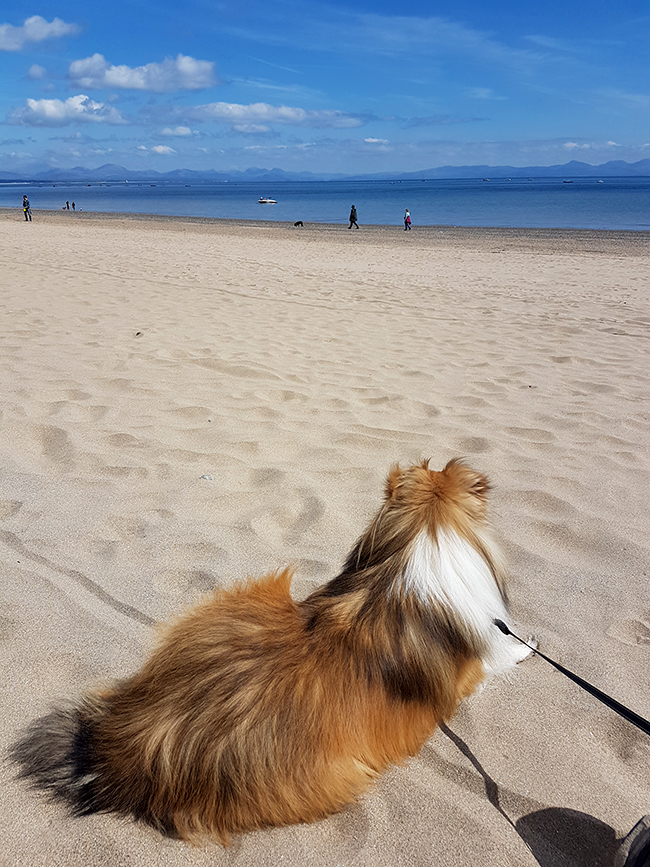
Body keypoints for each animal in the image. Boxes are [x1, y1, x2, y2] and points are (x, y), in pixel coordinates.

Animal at [11, 458, 532, 844]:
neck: (423, 538)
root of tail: (128, 751)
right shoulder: (473, 666)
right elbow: (502, 650)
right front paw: (528, 644)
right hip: (336, 774)